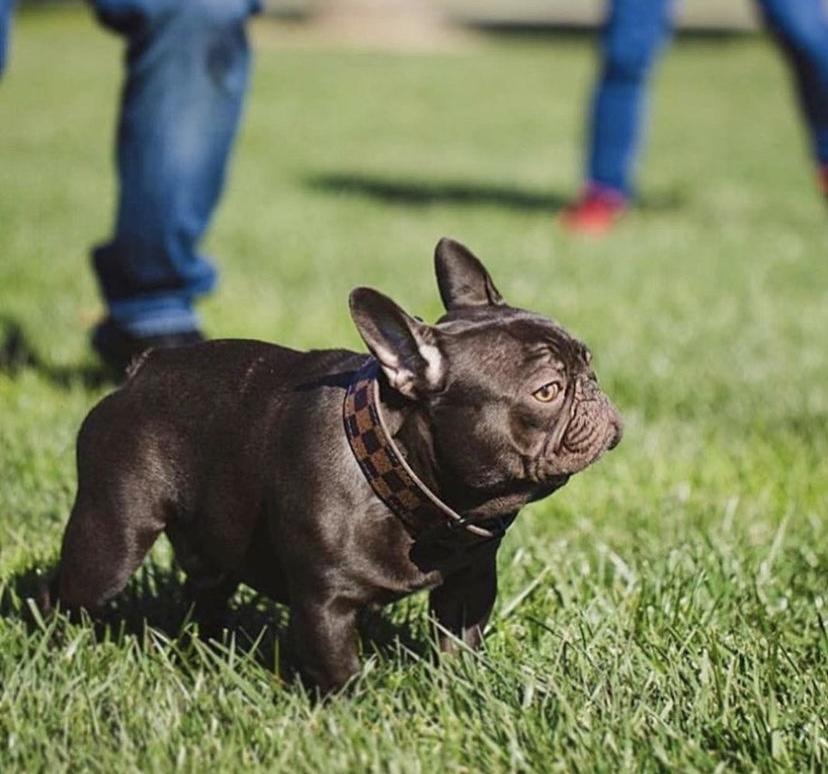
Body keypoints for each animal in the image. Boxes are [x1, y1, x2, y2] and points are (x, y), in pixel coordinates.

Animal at [48, 239, 620, 696]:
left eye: (587, 361)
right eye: (547, 391)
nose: (593, 390)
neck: (401, 472)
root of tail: (142, 370)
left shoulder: (469, 581)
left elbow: (460, 642)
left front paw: (463, 690)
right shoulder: (326, 603)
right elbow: (339, 667)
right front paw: (353, 713)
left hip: (214, 544)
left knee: (205, 590)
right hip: (111, 539)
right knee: (66, 592)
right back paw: (56, 649)